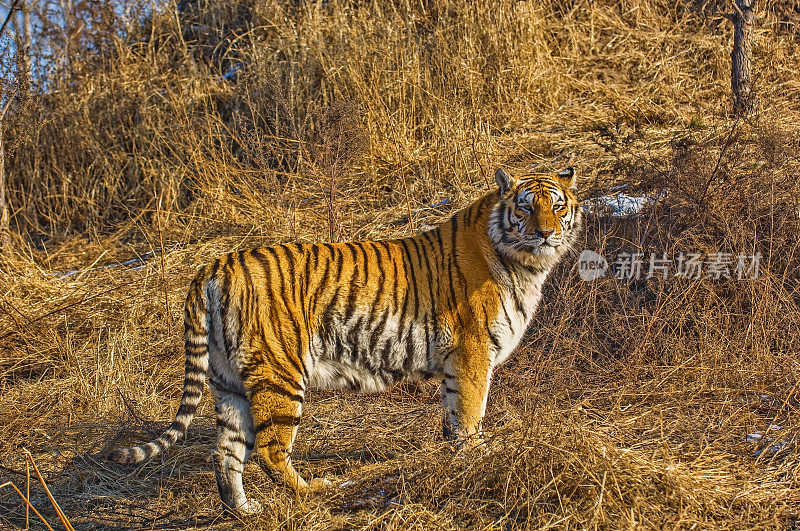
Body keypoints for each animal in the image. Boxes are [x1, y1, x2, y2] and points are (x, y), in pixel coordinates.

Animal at [108, 166, 580, 516]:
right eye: (526, 207)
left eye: (557, 206)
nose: (545, 233)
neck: (524, 263)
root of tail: (214, 265)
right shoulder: (472, 354)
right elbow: (469, 415)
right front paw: (477, 458)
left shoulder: (456, 363)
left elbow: (452, 417)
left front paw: (455, 458)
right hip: (280, 373)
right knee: (268, 451)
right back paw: (315, 490)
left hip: (228, 382)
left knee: (225, 451)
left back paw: (244, 510)